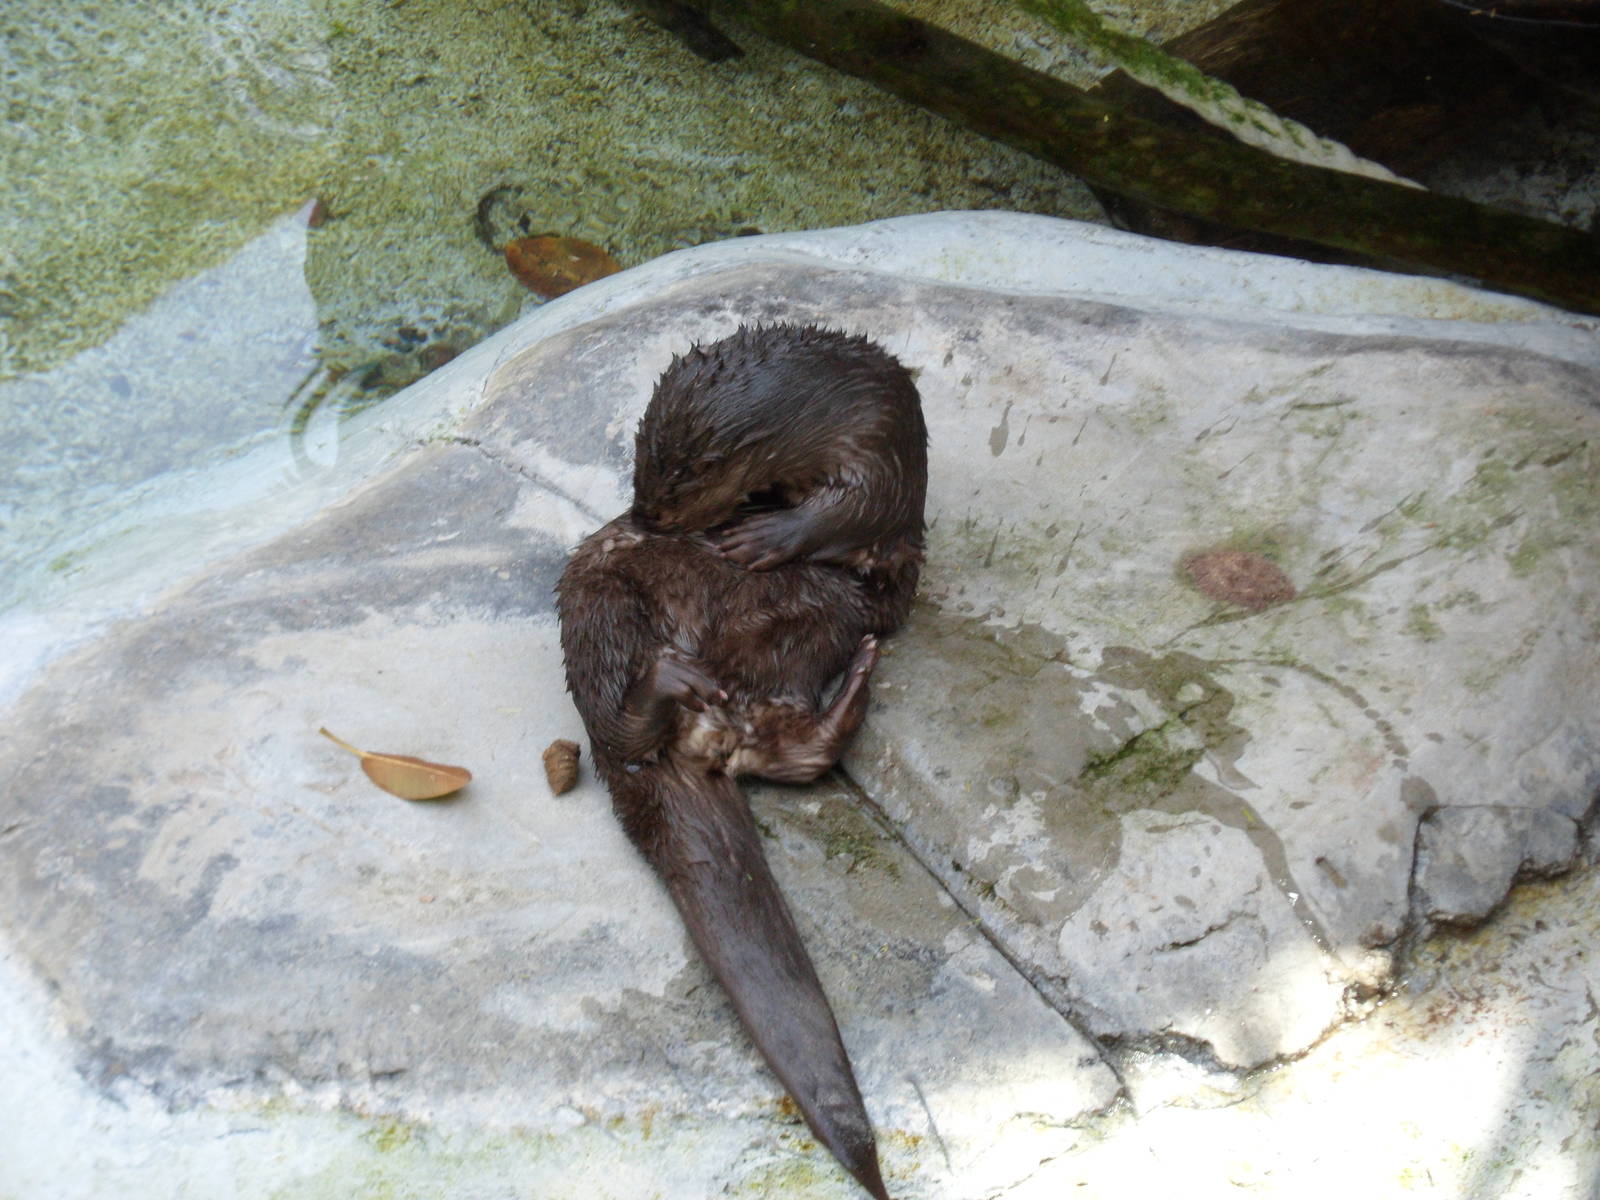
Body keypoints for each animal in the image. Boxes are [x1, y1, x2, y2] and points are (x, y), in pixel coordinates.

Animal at [556, 324, 926, 1200]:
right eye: (640, 462)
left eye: (682, 477)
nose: (644, 514)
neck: (826, 409)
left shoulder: (883, 433)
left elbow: (861, 503)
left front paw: (767, 536)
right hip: (595, 595)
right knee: (626, 714)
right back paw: (665, 683)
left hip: (811, 621)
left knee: (787, 743)